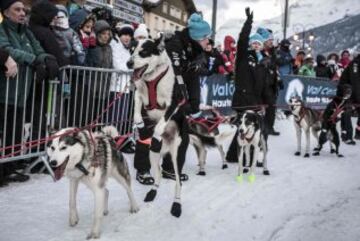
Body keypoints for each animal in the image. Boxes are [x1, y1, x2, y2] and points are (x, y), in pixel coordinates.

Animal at [126, 34, 187, 217]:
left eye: (143, 52)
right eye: (131, 50)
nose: (129, 63)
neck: (152, 79)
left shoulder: (173, 103)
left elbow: (162, 122)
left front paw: (157, 132)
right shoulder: (139, 93)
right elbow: (137, 106)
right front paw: (138, 121)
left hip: (176, 156)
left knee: (178, 182)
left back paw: (176, 205)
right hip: (152, 155)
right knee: (158, 174)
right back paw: (153, 191)